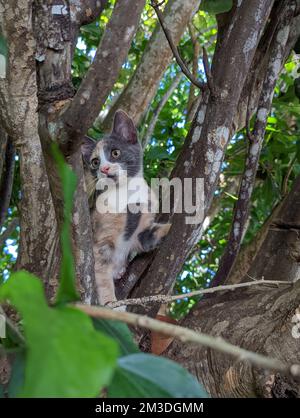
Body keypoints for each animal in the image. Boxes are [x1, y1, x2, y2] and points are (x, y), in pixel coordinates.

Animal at [82, 110, 171, 306]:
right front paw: (111, 304)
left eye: (115, 153)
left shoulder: (141, 230)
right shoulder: (100, 243)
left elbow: (147, 238)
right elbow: (102, 275)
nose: (104, 169)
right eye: (95, 162)